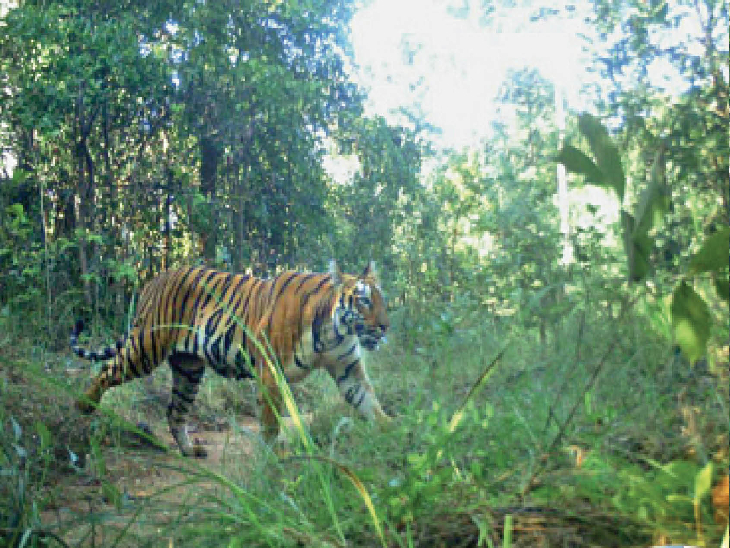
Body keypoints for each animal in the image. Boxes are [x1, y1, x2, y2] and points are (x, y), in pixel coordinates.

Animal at [71, 260, 390, 456]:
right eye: (364, 301)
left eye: (382, 300)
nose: (385, 327)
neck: (334, 332)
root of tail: (154, 280)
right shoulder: (270, 371)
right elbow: (270, 421)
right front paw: (273, 458)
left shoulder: (348, 369)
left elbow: (370, 403)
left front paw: (394, 433)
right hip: (146, 348)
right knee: (107, 370)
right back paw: (83, 404)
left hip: (188, 369)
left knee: (175, 411)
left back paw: (189, 450)